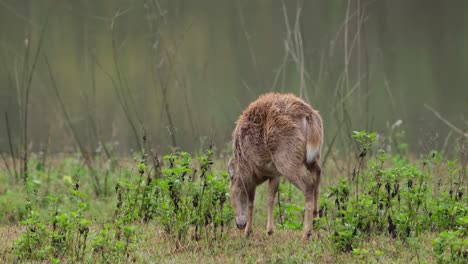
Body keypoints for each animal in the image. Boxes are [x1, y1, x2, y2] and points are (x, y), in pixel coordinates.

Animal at [229, 93, 324, 241]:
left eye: (231, 194)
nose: (239, 224)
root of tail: (309, 117)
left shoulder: (248, 171)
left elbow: (251, 201)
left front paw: (248, 231)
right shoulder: (274, 173)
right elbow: (270, 199)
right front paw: (269, 230)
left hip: (286, 159)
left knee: (308, 186)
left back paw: (306, 233)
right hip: (311, 157)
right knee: (318, 175)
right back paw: (316, 223)